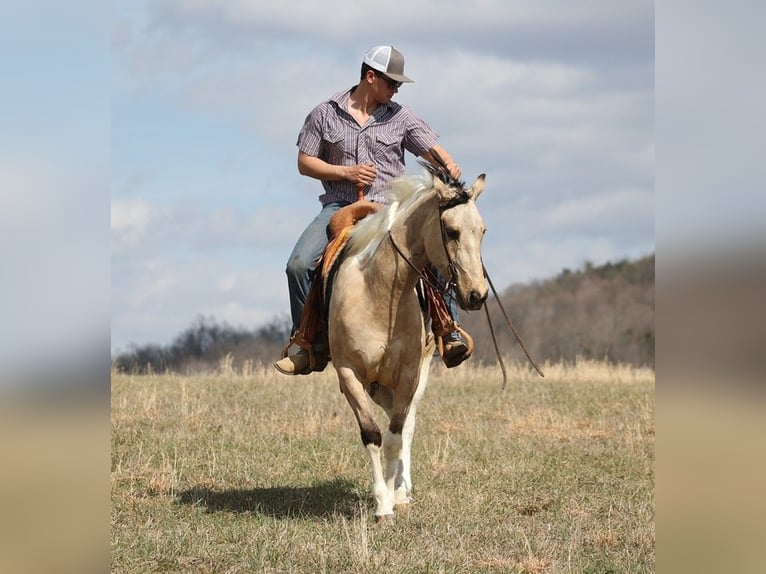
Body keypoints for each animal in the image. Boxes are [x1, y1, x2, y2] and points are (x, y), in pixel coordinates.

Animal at [328, 164, 488, 520]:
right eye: (452, 231)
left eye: (482, 231)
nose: (477, 295)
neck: (379, 291)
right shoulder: (349, 374)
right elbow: (373, 435)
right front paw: (381, 502)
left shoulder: (408, 374)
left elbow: (396, 436)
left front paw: (391, 498)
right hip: (375, 384)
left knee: (408, 426)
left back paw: (402, 490)